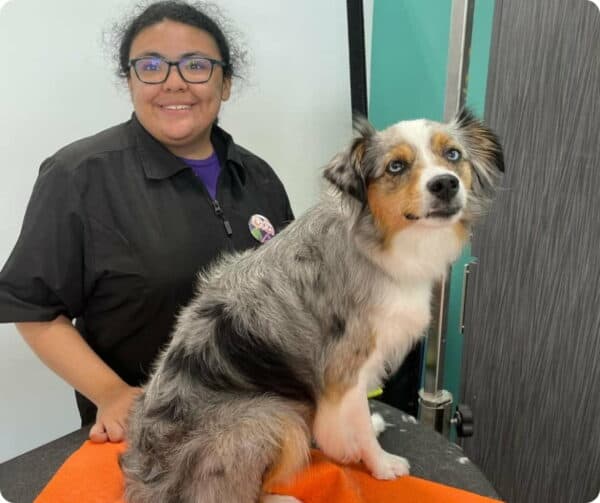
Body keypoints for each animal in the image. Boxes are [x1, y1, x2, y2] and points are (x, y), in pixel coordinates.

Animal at [119, 110, 504, 503]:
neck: (378, 243)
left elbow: (355, 418)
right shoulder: (346, 364)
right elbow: (356, 421)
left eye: (453, 155)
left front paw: (360, 435)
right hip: (271, 414)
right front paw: (380, 464)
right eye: (395, 166)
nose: (445, 184)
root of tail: (148, 483)